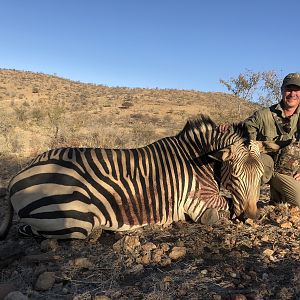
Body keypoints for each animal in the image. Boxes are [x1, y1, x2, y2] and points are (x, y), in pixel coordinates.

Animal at [0, 113, 264, 240]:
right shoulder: (199, 203)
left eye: (261, 175)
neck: (199, 158)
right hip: (73, 220)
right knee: (31, 232)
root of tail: (16, 177)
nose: (251, 217)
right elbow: (227, 207)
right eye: (236, 175)